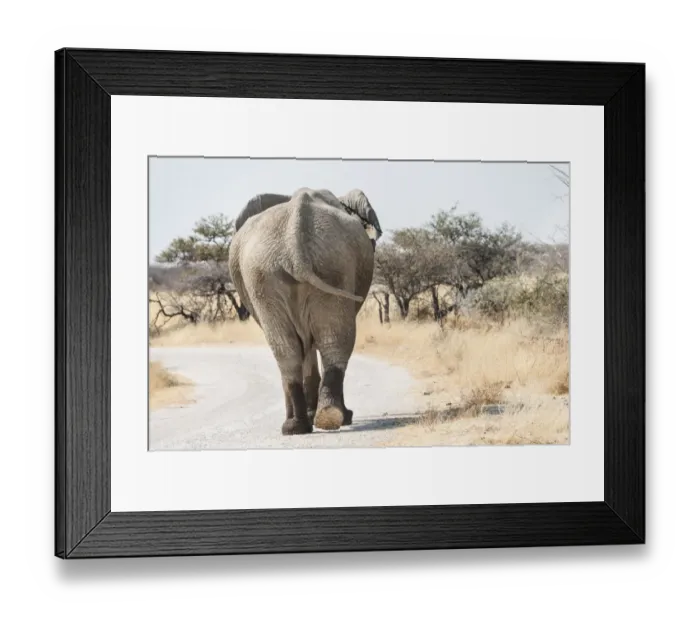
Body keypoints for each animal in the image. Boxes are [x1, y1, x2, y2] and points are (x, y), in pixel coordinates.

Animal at [228, 187, 383, 436]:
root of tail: (294, 240)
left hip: (317, 266)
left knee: (295, 347)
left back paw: (306, 423)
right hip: (292, 270)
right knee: (327, 341)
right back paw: (316, 421)